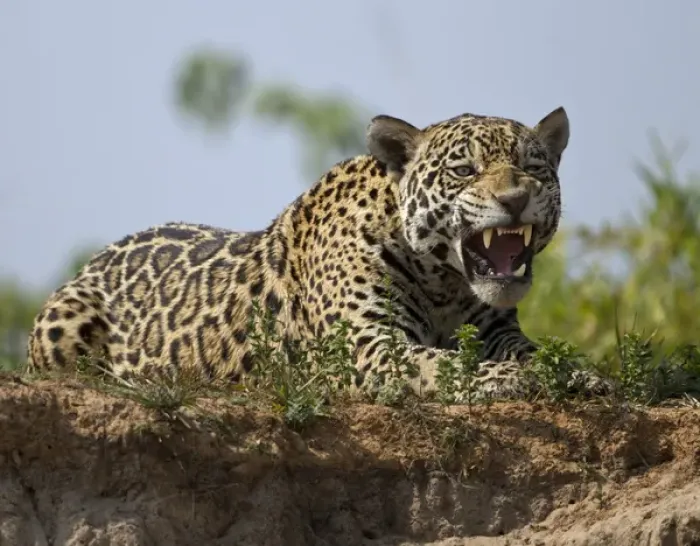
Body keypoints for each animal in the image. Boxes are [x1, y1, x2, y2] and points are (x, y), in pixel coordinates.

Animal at [26, 106, 605, 399]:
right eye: (464, 170)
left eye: (532, 166)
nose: (514, 199)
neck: (445, 283)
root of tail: (103, 253)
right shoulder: (370, 347)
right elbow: (448, 365)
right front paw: (514, 380)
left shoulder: (499, 330)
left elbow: (535, 353)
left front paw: (581, 374)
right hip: (61, 321)